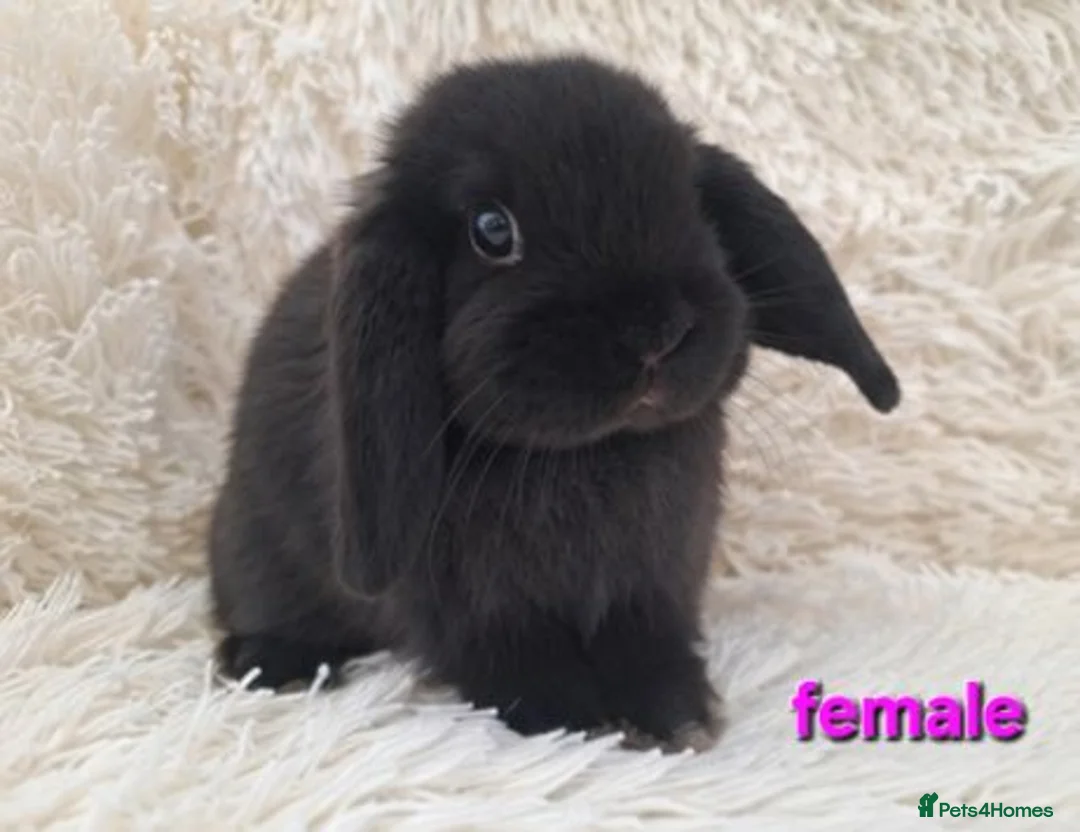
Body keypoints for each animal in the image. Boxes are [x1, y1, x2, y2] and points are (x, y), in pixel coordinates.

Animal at [207, 53, 900, 753]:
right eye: (491, 229)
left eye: (695, 206)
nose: (654, 332)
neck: (590, 453)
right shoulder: (477, 607)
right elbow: (514, 657)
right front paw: (569, 718)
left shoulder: (653, 584)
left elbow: (649, 646)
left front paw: (676, 715)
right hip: (261, 550)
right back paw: (274, 664)